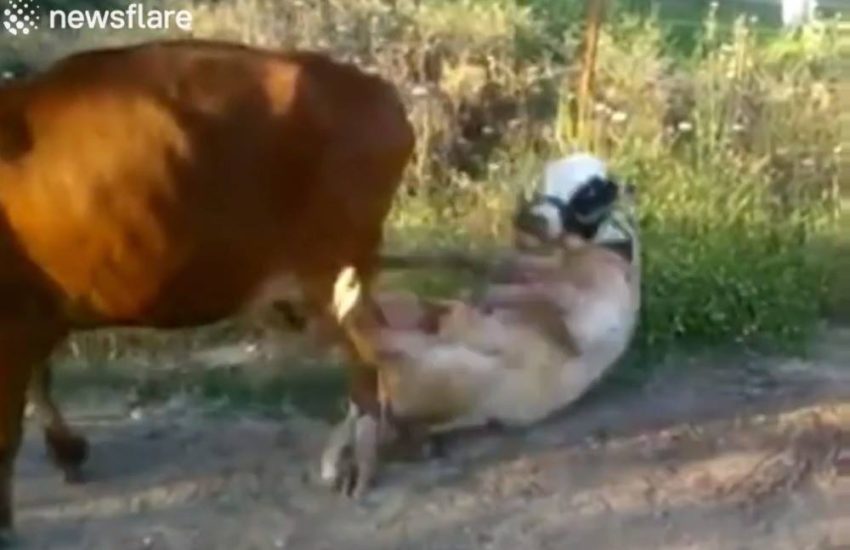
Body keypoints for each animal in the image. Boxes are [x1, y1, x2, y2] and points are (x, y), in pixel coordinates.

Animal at [0, 38, 414, 540]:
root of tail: (377, 91)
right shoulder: (34, 314)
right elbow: (39, 382)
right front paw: (67, 451)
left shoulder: (15, 319)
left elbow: (7, 428)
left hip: (333, 270)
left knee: (365, 359)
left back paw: (359, 462)